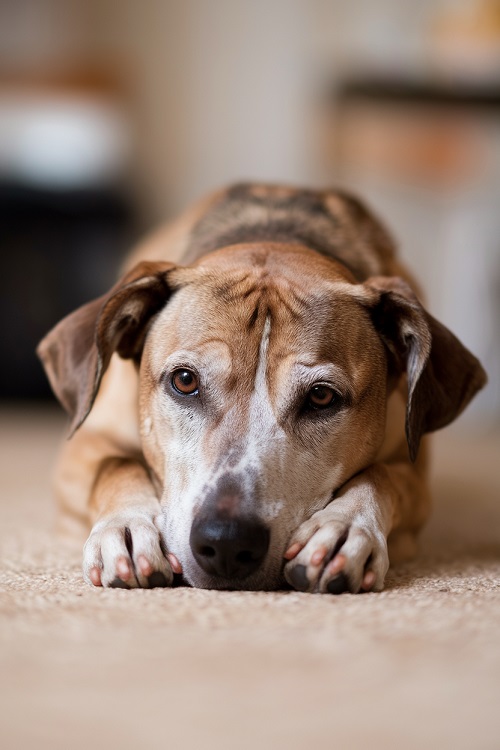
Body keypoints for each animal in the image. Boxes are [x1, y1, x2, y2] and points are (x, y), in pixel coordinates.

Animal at [36, 182, 488, 592]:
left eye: (321, 396)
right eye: (185, 381)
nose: (227, 543)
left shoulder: (415, 474)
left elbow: (382, 475)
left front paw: (344, 528)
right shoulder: (83, 444)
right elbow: (116, 463)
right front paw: (129, 527)